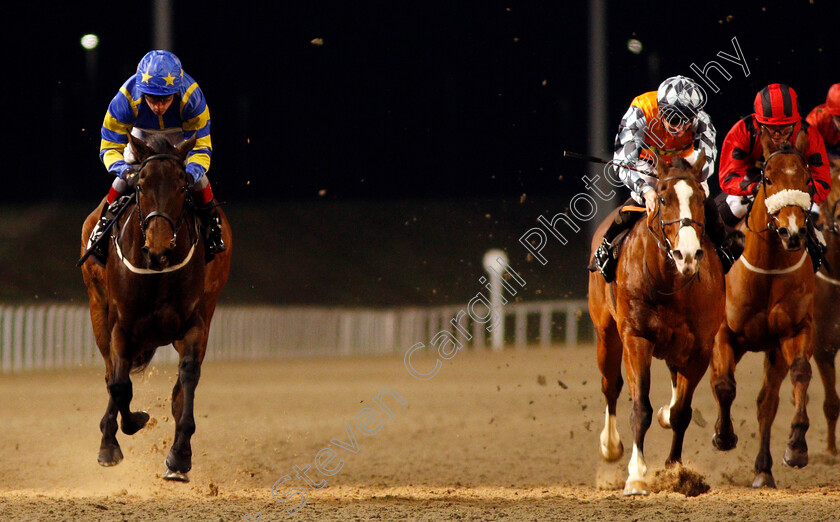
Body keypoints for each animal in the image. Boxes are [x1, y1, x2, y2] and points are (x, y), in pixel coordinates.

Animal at [79, 133, 233, 480]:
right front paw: (119, 436)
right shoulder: (121, 325)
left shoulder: (194, 323)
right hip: (98, 308)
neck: (157, 270)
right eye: (140, 185)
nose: (158, 246)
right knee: (111, 375)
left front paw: (179, 456)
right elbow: (119, 383)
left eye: (182, 187)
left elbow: (187, 378)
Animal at [588, 151, 724, 496]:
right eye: (662, 198)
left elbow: (680, 413)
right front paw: (636, 476)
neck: (670, 283)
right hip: (606, 333)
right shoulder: (637, 338)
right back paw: (610, 445)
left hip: (677, 348)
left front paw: (676, 472)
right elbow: (640, 408)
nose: (687, 254)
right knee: (610, 384)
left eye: (700, 198)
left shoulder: (700, 348)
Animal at [708, 129, 812, 488]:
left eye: (807, 179)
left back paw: (764, 469)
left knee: (767, 401)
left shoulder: (794, 330)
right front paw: (723, 435)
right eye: (767, 178)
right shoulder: (723, 332)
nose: (792, 232)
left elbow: (800, 374)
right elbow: (724, 385)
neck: (766, 270)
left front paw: (796, 445)